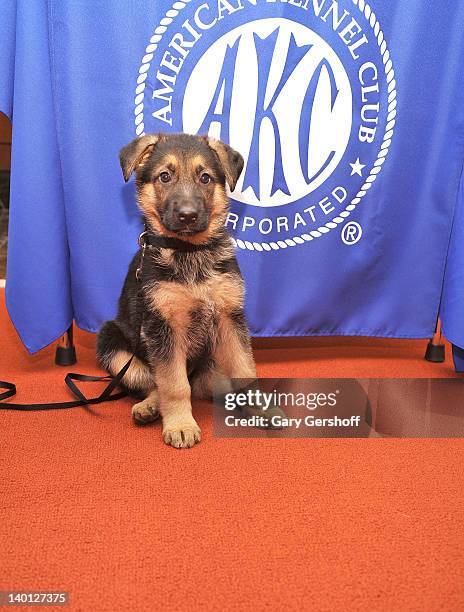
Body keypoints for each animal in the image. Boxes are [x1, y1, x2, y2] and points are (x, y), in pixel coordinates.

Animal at [97, 135, 256, 450]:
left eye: (205, 178)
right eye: (164, 177)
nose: (187, 216)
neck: (189, 251)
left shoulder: (230, 318)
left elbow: (245, 370)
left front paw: (263, 409)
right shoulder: (164, 326)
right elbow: (173, 383)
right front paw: (181, 425)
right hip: (113, 344)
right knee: (152, 381)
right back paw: (150, 407)